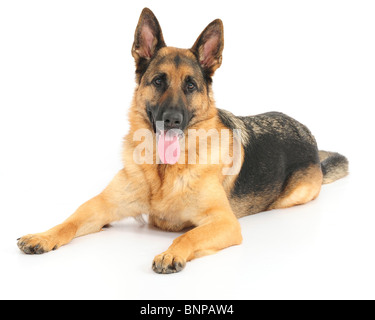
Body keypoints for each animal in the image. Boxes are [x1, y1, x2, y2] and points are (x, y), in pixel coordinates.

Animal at [16, 7, 348, 272]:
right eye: (158, 81)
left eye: (190, 86)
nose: (172, 120)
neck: (163, 172)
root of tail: (305, 130)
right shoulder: (102, 206)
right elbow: (69, 220)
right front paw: (43, 236)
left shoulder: (224, 223)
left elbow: (188, 234)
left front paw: (171, 253)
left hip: (294, 196)